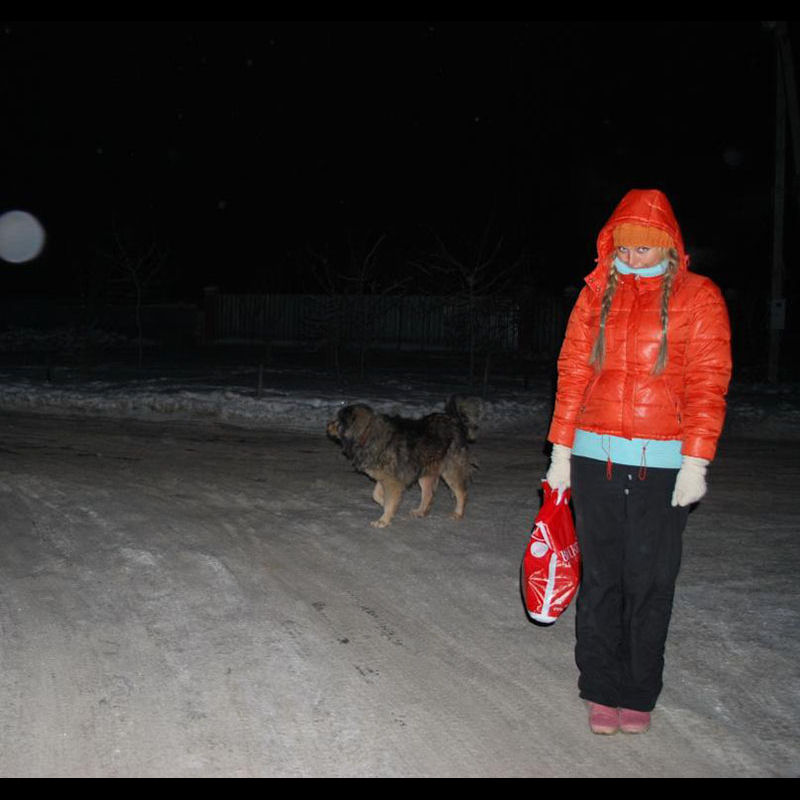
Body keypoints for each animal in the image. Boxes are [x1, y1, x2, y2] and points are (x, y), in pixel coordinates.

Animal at [326, 396, 483, 528]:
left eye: (337, 421)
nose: (327, 425)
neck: (366, 432)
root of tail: (456, 421)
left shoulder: (392, 481)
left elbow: (389, 499)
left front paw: (383, 519)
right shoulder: (385, 477)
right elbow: (376, 495)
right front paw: (385, 505)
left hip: (451, 471)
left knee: (461, 493)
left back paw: (458, 513)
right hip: (425, 472)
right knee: (428, 494)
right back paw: (421, 511)